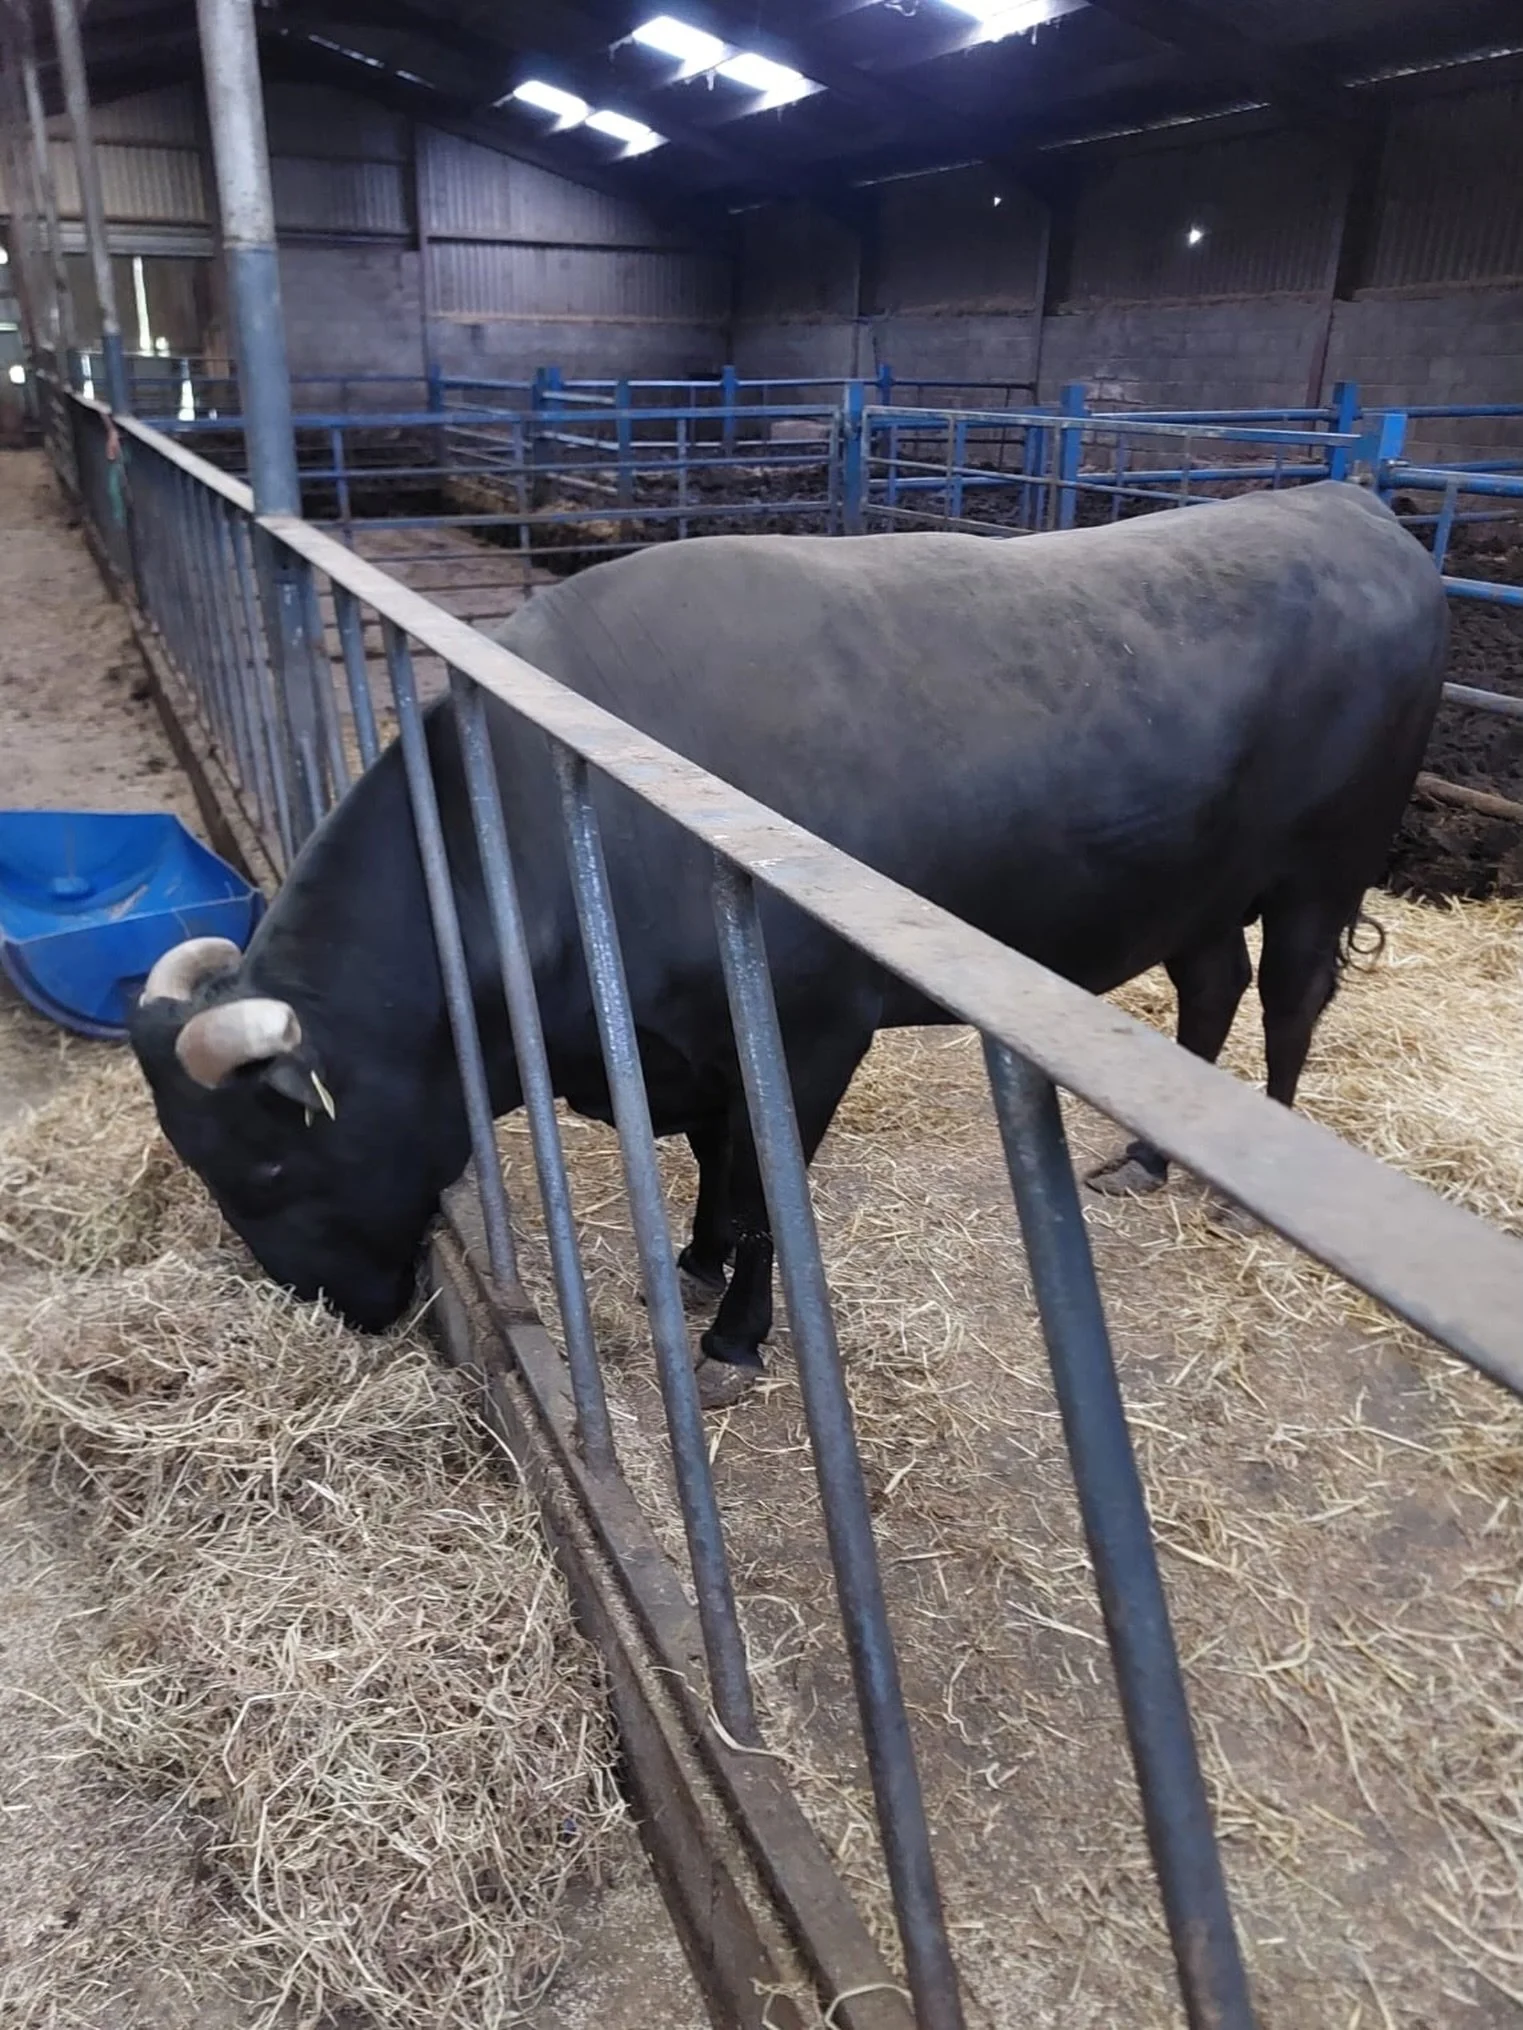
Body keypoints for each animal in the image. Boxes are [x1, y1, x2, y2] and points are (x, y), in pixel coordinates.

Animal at [129, 482, 1447, 1407]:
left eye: (267, 1168)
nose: (344, 1309)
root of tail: (1347, 504)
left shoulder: (806, 1033)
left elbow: (767, 1186)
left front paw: (731, 1335)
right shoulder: (697, 1042)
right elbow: (718, 1164)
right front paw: (697, 1258)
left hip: (1322, 867)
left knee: (1290, 994)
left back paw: (1242, 1190)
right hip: (1198, 887)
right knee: (1212, 982)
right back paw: (1143, 1158)